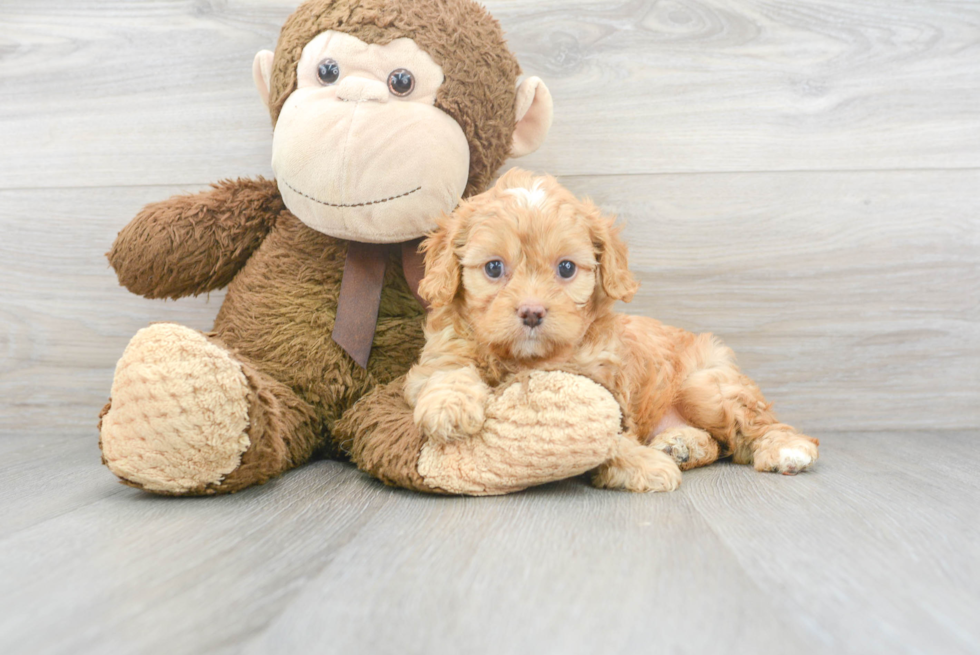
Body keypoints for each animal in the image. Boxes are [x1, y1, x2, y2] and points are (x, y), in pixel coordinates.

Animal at [402, 169, 816, 492]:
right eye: (493, 268)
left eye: (566, 268)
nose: (532, 312)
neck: (528, 360)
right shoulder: (442, 350)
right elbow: (447, 370)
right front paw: (449, 406)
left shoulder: (605, 389)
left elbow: (609, 433)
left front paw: (640, 464)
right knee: (719, 444)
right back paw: (680, 445)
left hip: (707, 386)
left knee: (753, 428)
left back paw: (786, 449)